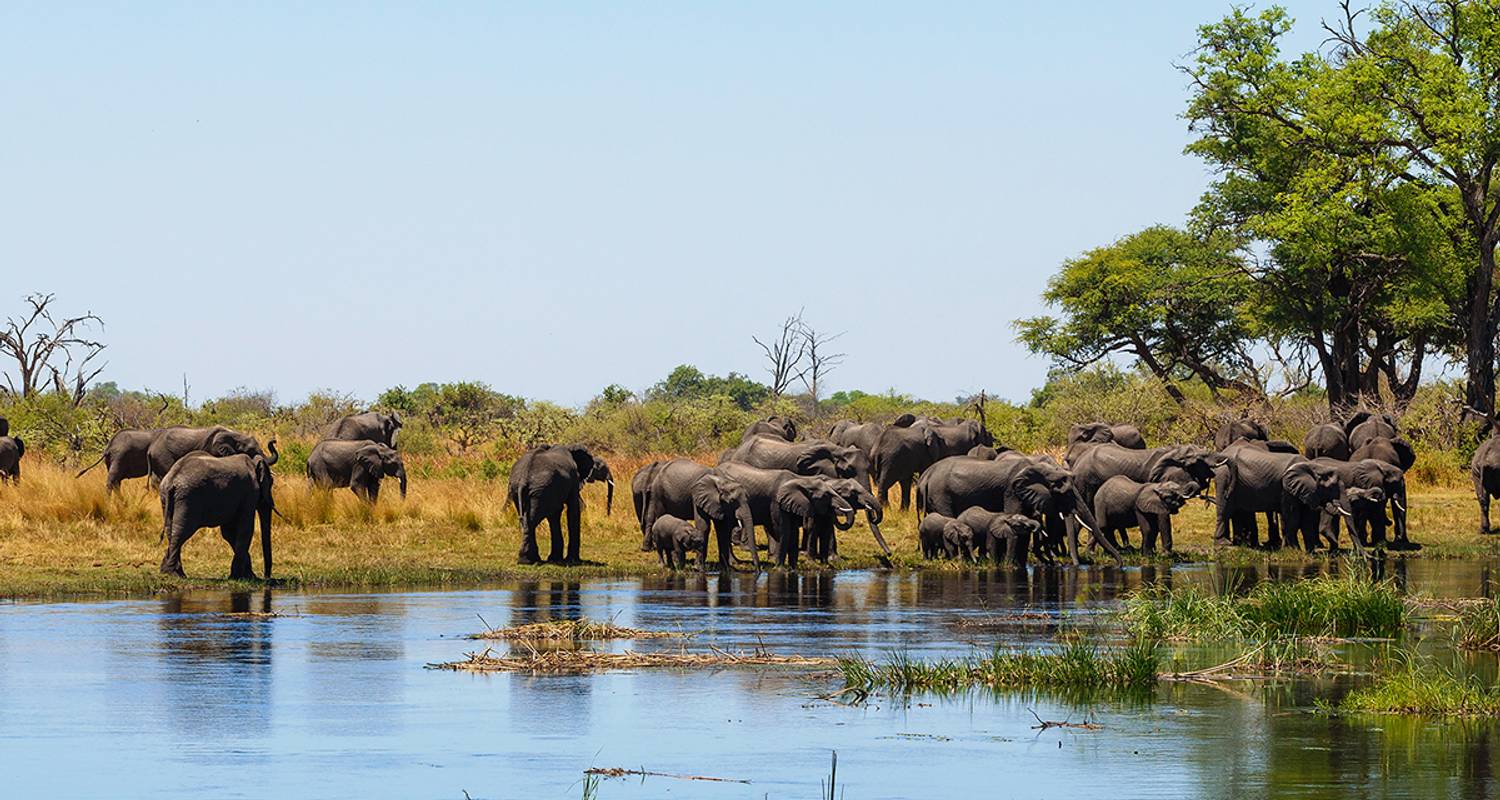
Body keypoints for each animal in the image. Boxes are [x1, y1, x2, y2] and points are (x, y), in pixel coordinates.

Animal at [162, 447, 282, 576]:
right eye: (271, 482)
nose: (266, 577)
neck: (253, 462)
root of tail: (172, 480)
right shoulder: (250, 493)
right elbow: (245, 529)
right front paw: (240, 576)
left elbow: (229, 533)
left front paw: (247, 575)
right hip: (188, 498)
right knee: (181, 531)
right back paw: (173, 573)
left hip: (168, 497)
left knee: (170, 530)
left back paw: (172, 572)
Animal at [714, 462, 858, 567]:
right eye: (826, 496)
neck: (802, 480)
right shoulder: (777, 501)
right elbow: (782, 529)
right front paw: (779, 565)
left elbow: (793, 531)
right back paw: (734, 562)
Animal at [912, 453, 1116, 564]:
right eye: (1062, 491)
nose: (1078, 564)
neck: (1036, 466)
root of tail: (926, 476)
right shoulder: (1012, 491)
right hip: (941, 493)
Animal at [1212, 444, 1356, 549]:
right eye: (1332, 487)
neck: (1314, 466)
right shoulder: (1287, 488)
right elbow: (1293, 516)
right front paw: (1293, 550)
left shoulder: (1305, 490)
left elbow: (1306, 518)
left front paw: (1310, 552)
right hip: (1224, 475)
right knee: (1224, 510)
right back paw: (1224, 544)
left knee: (1236, 511)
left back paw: (1243, 544)